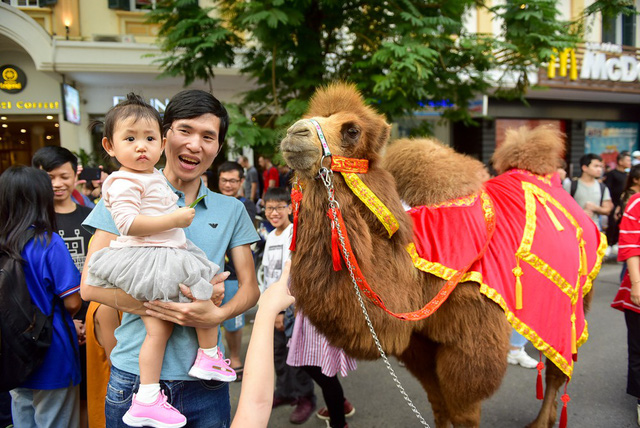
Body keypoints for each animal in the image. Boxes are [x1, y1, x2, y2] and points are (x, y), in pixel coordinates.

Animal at [280, 82, 604, 426]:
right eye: (309, 118)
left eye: (352, 130)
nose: (294, 133)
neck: (416, 273)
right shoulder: (420, 343)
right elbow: (438, 403)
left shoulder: (472, 340)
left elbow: (463, 411)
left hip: (575, 298)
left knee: (559, 368)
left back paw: (542, 420)